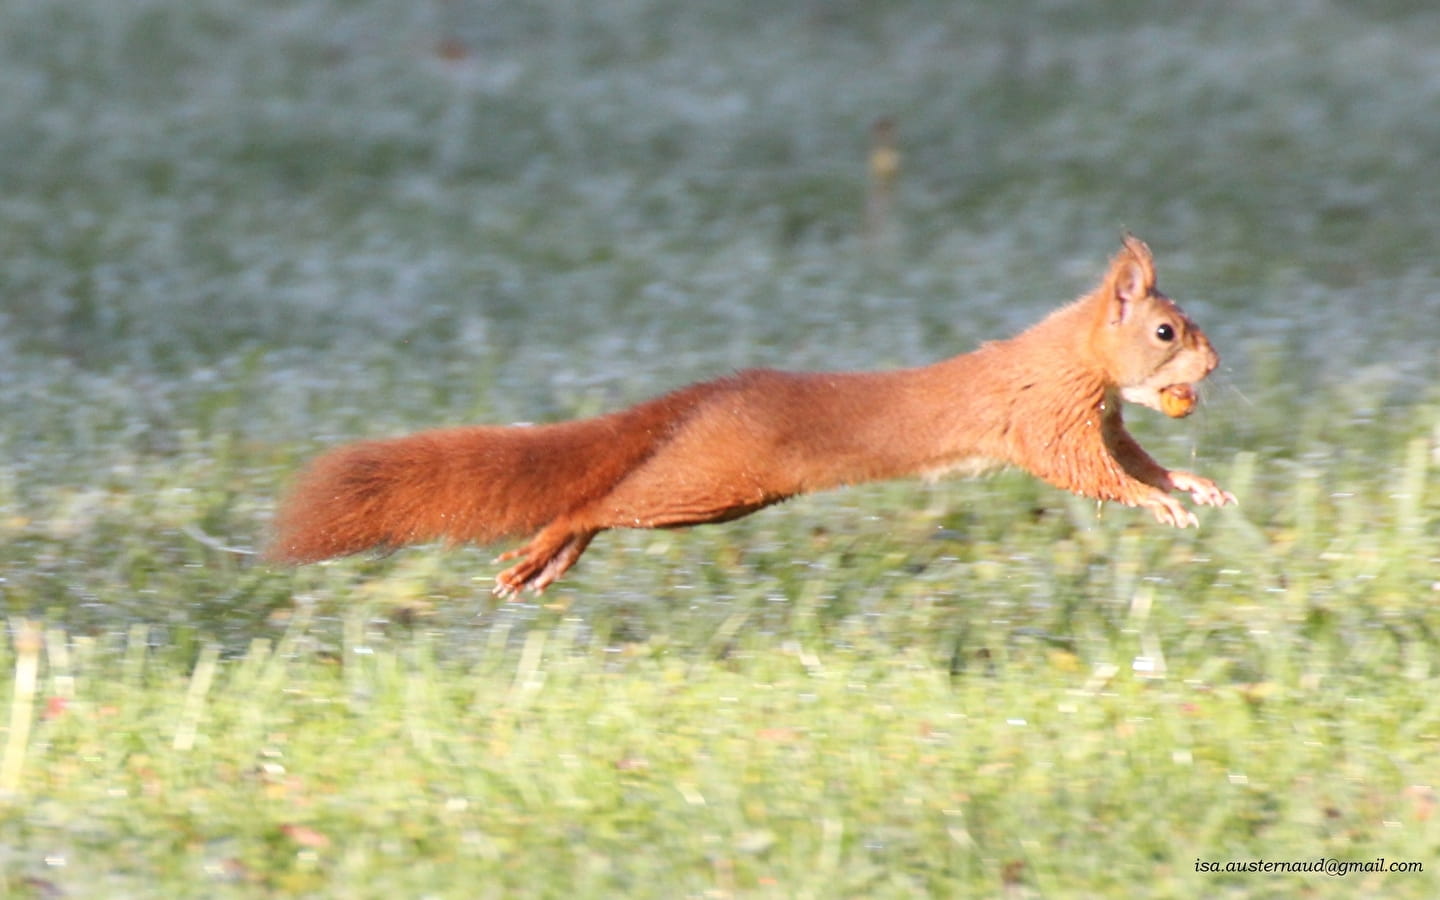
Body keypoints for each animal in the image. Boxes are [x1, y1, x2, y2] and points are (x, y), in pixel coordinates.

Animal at [264, 234, 1232, 593]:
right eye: (1165, 329)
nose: (1215, 365)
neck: (1073, 359)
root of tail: (714, 395)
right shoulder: (1046, 419)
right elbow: (1090, 475)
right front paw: (1162, 506)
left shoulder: (1101, 420)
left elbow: (1132, 459)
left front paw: (1193, 486)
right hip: (712, 482)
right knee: (599, 502)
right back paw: (546, 549)